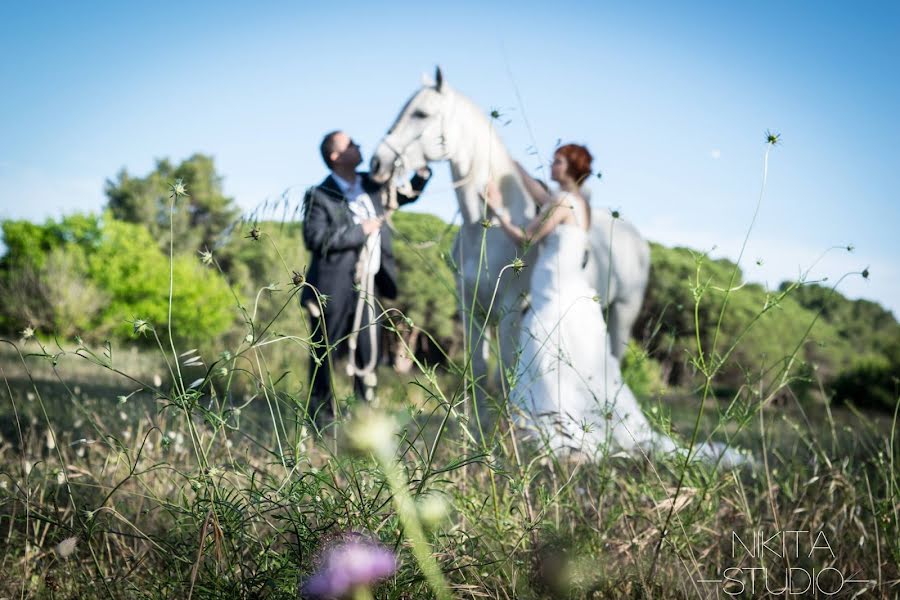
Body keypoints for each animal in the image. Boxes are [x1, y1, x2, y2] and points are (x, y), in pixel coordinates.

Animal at [370, 68, 652, 396]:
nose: (378, 162)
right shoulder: (470, 308)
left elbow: (505, 375)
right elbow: (479, 373)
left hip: (623, 312)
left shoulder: (509, 310)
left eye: (421, 113)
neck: (484, 228)